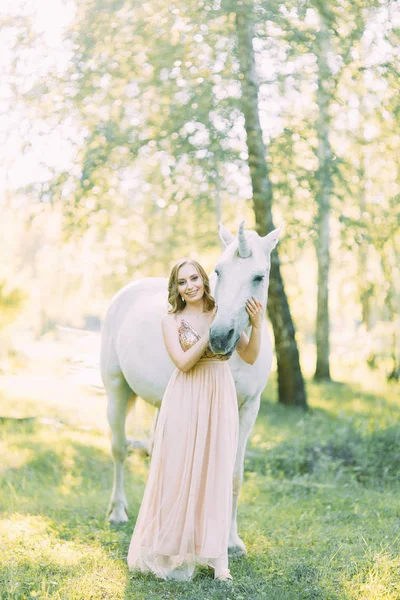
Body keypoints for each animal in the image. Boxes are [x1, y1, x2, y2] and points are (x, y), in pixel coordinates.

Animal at [101, 223, 278, 556]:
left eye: (259, 276)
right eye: (219, 271)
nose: (220, 336)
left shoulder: (249, 410)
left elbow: (233, 475)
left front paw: (231, 542)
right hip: (116, 390)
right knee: (119, 449)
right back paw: (118, 512)